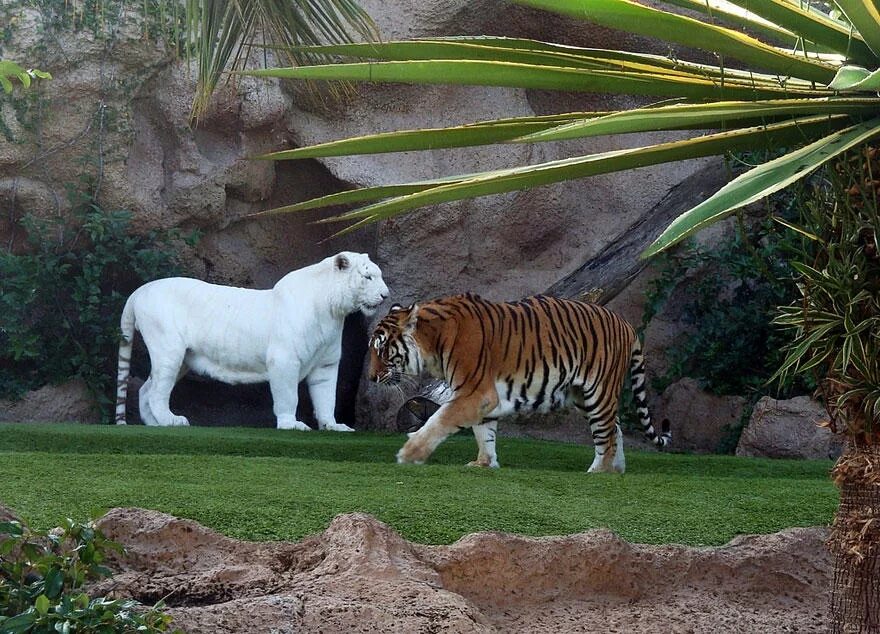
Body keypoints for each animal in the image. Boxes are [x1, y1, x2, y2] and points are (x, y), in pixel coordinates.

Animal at [116, 249, 388, 428]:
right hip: (169, 349)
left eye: (378, 275)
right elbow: (288, 395)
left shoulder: (326, 364)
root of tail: (140, 290)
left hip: (182, 358)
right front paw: (292, 425)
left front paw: (333, 426)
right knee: (156, 391)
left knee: (146, 389)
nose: (386, 295)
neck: (332, 311)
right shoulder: (284, 360)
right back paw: (171, 421)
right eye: (368, 277)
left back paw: (153, 423)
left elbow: (326, 398)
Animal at [368, 292, 672, 470]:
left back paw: (598, 472)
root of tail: (627, 324)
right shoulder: (482, 397)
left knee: (606, 436)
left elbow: (439, 421)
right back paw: (616, 470)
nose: (371, 377)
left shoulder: (475, 393)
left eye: (381, 350)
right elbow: (484, 433)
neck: (433, 342)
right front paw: (484, 463)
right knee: (615, 428)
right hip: (583, 395)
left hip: (598, 392)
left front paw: (409, 454)